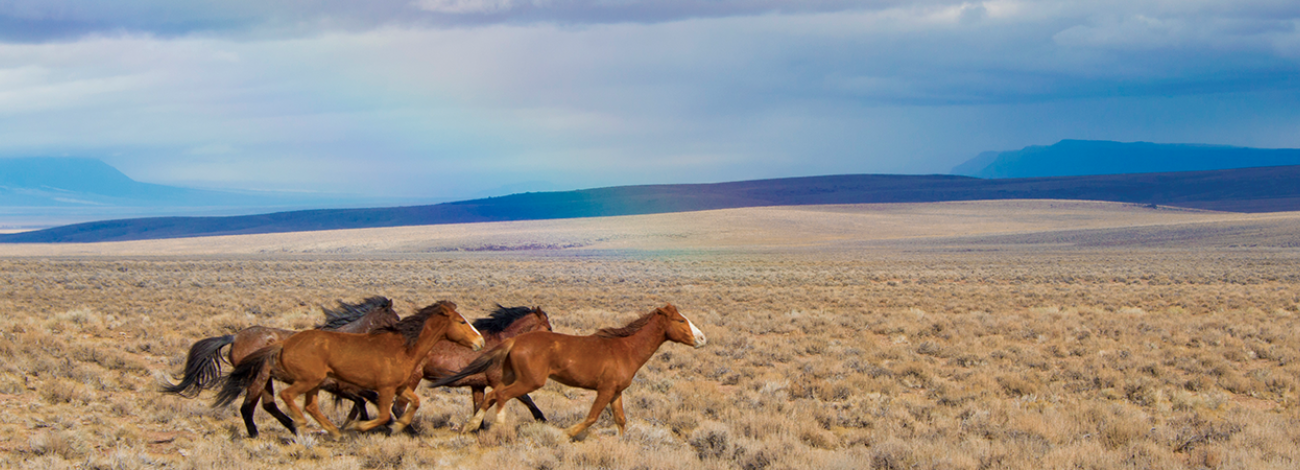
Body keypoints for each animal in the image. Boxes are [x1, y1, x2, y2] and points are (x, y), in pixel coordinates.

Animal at [163, 296, 399, 438]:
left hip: (266, 378)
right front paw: (385, 425)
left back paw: (294, 428)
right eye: (395, 318)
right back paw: (257, 435)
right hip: (258, 378)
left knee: (268, 405)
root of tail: (234, 336)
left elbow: (362, 403)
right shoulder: (341, 386)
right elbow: (369, 400)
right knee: (247, 407)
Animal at [217, 300, 484, 439]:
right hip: (295, 380)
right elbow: (381, 412)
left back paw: (330, 431)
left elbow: (413, 403)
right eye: (461, 321)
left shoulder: (397, 387)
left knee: (300, 405)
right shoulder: (379, 388)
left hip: (302, 383)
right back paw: (295, 427)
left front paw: (398, 427)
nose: (480, 342)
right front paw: (364, 427)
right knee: (276, 400)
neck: (402, 347)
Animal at [399, 305, 553, 422]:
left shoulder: (478, 385)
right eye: (549, 328)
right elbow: (526, 398)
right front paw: (542, 419)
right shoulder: (498, 381)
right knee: (399, 407)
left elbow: (479, 407)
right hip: (412, 378)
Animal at [432, 304, 706, 439]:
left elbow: (620, 420)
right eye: (680, 320)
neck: (625, 349)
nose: (702, 339)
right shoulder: (605, 390)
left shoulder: (616, 392)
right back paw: (498, 427)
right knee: (501, 396)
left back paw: (470, 426)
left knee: (491, 396)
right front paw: (567, 433)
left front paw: (621, 444)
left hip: (509, 378)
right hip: (529, 382)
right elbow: (592, 417)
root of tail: (513, 341)